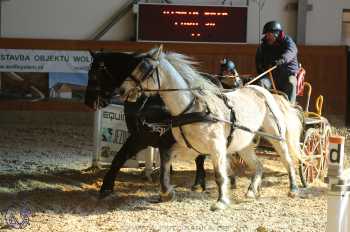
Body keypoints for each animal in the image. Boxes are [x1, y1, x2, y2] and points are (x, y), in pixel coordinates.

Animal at [84, 52, 223, 199]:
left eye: (95, 75)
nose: (88, 102)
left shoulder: (157, 138)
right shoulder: (139, 136)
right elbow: (119, 157)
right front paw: (107, 187)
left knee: (200, 158)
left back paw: (199, 183)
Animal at [118, 46, 304, 210]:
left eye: (145, 69)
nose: (122, 90)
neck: (192, 108)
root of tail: (265, 92)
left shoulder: (217, 148)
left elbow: (220, 175)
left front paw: (221, 202)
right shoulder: (189, 148)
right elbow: (165, 160)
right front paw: (167, 193)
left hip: (276, 136)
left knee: (287, 160)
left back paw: (293, 189)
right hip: (243, 144)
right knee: (258, 165)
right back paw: (252, 191)